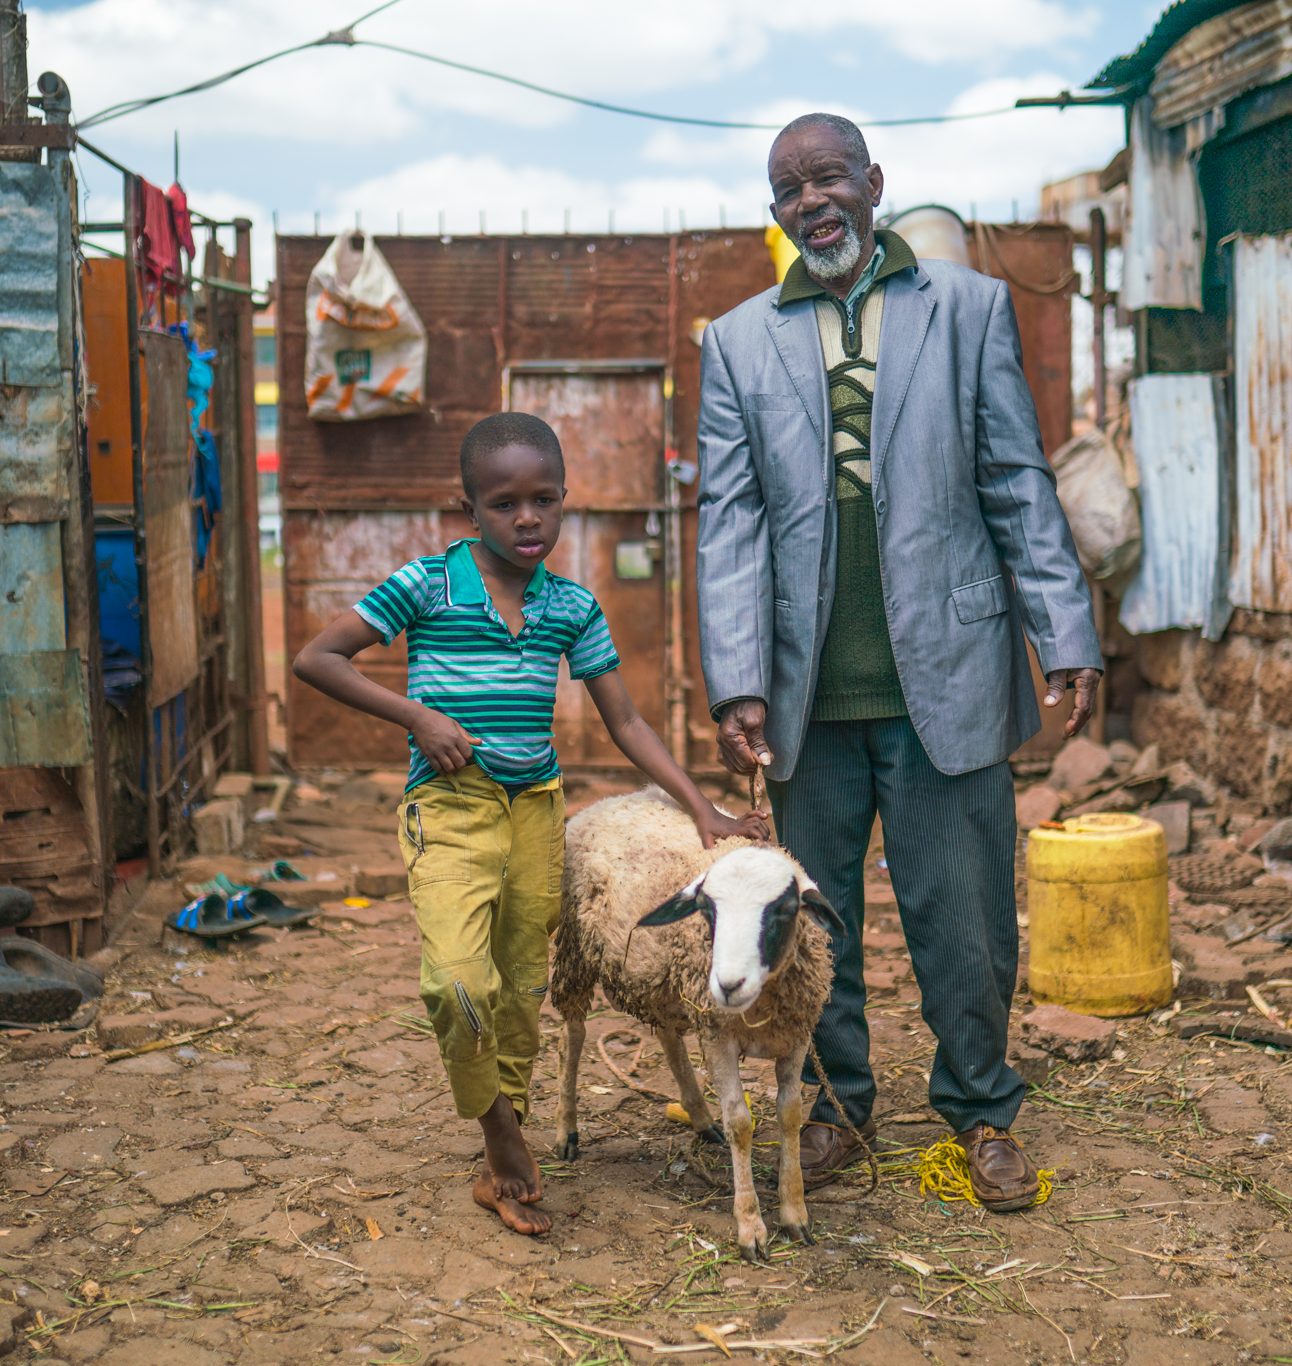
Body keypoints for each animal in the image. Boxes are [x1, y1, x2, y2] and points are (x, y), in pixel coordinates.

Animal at [551, 786, 835, 1262]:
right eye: (708, 911)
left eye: (784, 909)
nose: (728, 984)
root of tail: (608, 799)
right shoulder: (719, 1034)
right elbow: (741, 1123)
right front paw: (751, 1226)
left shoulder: (796, 1035)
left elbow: (790, 1115)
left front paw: (795, 1212)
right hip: (577, 944)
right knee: (571, 1035)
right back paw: (566, 1129)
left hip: (667, 978)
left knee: (667, 1033)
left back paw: (700, 1118)